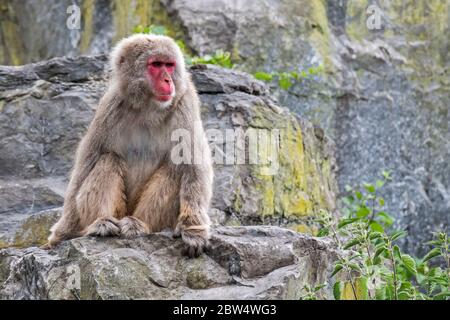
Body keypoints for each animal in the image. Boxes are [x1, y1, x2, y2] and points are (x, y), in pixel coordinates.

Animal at [44, 33, 214, 258]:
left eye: (169, 65)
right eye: (156, 65)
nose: (168, 80)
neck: (148, 107)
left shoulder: (185, 102)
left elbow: (192, 163)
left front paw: (194, 231)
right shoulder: (110, 106)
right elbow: (87, 163)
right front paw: (62, 233)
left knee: (175, 167)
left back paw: (139, 223)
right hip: (120, 210)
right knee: (108, 159)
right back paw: (101, 224)